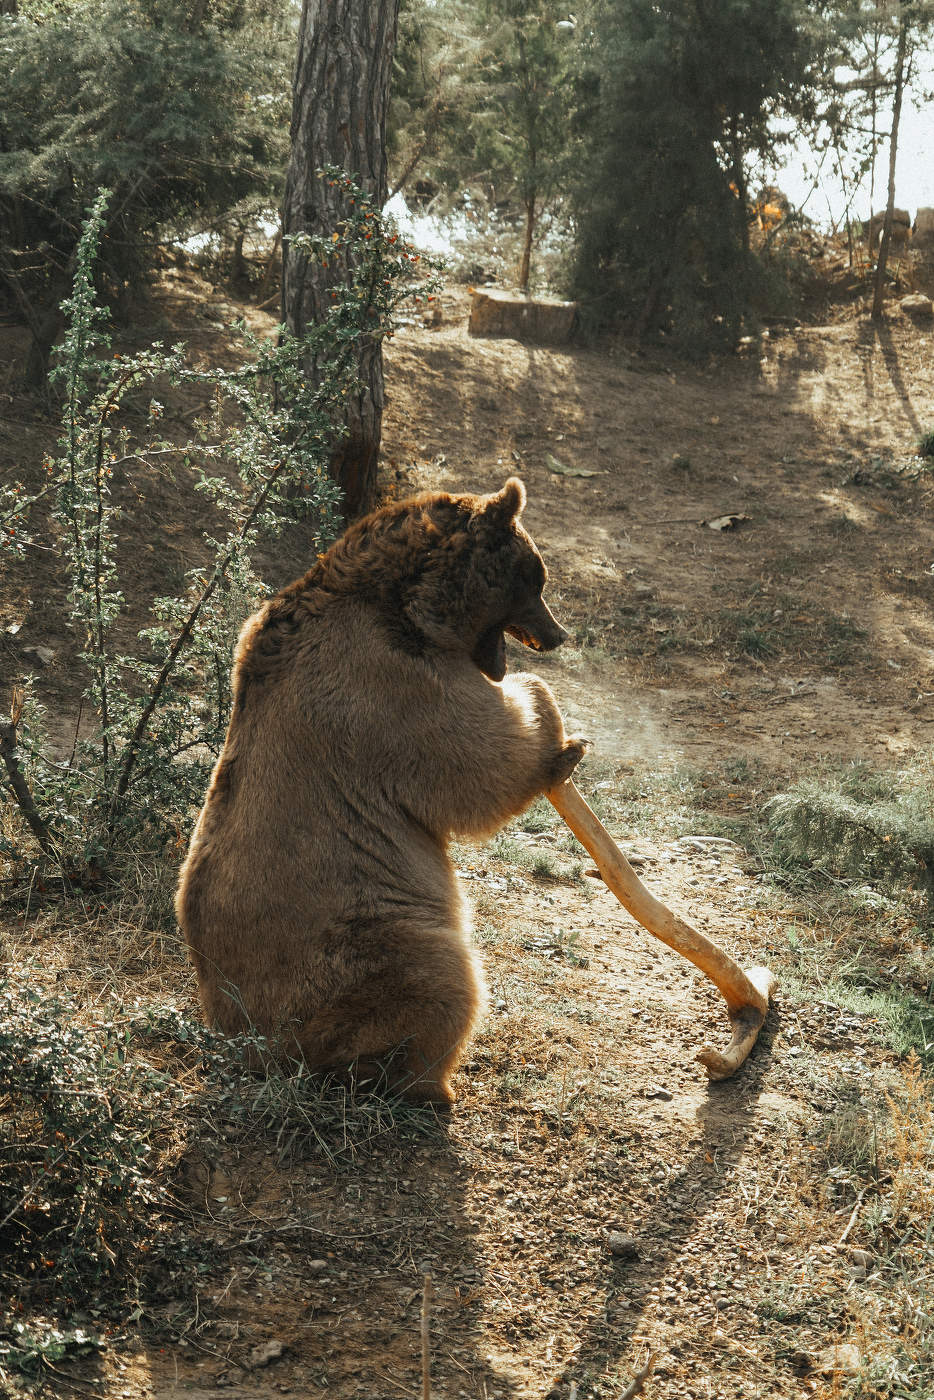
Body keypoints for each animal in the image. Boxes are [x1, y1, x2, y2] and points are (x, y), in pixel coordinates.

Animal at [175, 477, 586, 1105]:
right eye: (534, 578)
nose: (556, 635)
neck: (412, 604)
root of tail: (243, 1041)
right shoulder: (384, 683)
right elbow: (473, 758)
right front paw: (558, 732)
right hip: (359, 943)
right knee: (437, 977)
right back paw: (423, 1081)